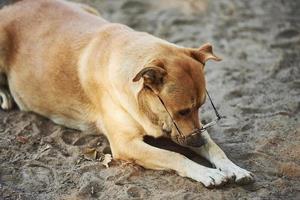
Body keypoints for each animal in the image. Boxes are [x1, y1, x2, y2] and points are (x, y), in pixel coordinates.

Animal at [0, 0, 253, 188]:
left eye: (200, 107)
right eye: (182, 111)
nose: (198, 141)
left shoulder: (186, 131)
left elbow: (216, 149)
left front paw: (234, 168)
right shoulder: (126, 145)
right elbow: (175, 156)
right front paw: (206, 173)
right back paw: (5, 97)